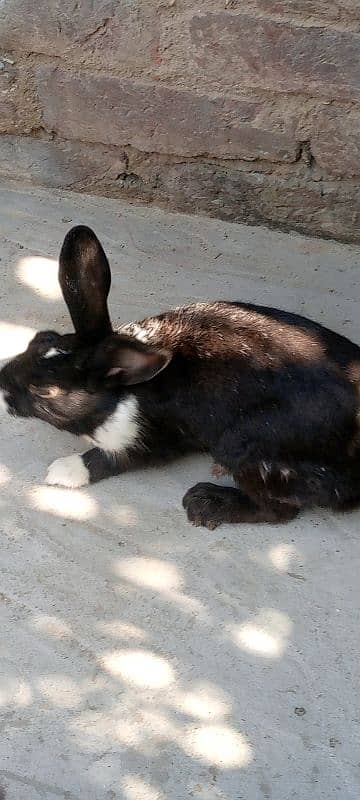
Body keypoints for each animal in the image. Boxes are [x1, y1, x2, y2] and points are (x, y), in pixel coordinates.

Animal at [0, 225, 360, 528]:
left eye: (46, 391)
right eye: (40, 339)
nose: (2, 383)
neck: (127, 391)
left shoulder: (152, 439)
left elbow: (112, 458)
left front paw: (63, 471)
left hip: (244, 447)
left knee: (279, 509)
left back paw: (206, 502)